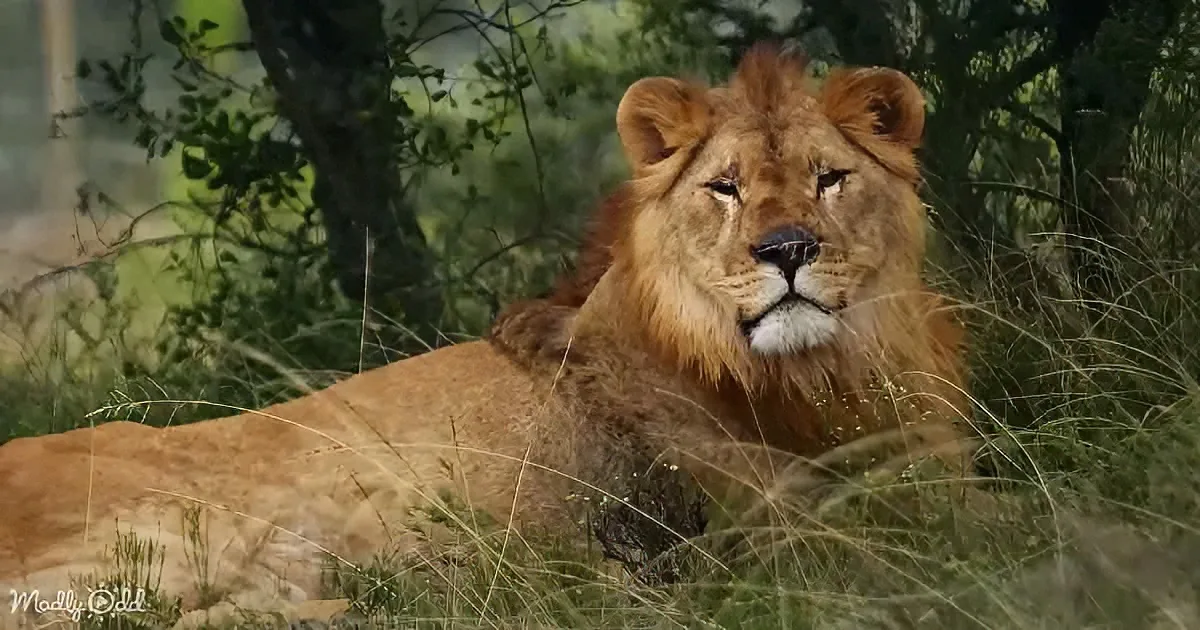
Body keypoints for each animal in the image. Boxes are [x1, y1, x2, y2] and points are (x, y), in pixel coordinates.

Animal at [0, 43, 973, 626]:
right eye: (724, 188)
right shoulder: (799, 513)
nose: (787, 250)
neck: (824, 371)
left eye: (829, 178)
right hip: (190, 535)